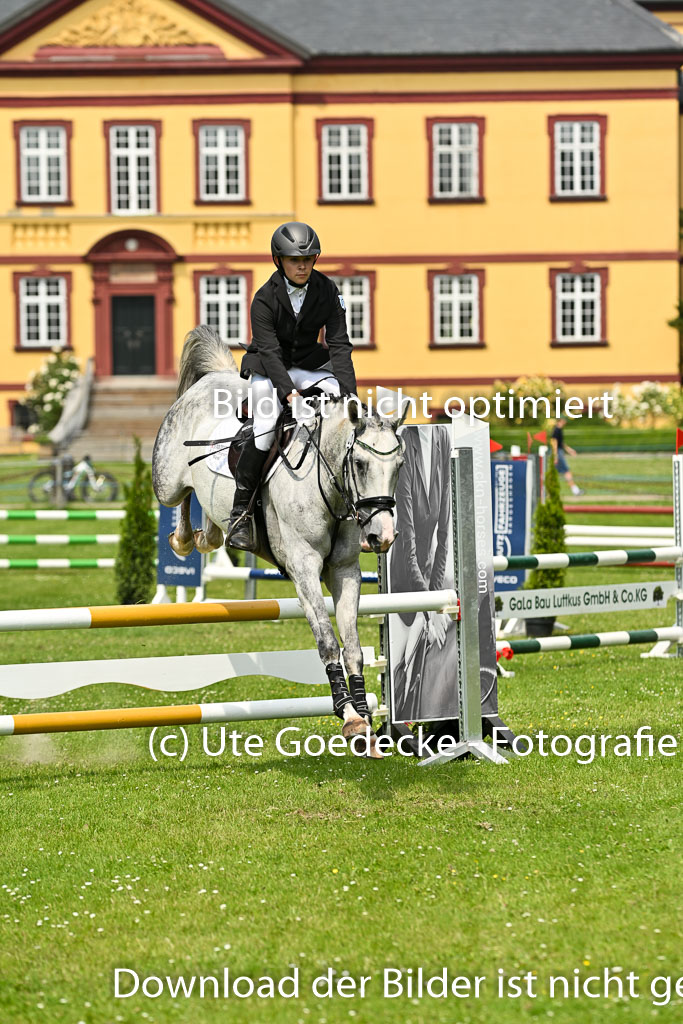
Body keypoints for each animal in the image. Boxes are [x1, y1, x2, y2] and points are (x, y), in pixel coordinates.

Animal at [152, 326, 406, 757]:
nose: (382, 536)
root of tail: (213, 378)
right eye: (359, 464)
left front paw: (367, 723)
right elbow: (327, 639)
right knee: (181, 496)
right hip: (167, 479)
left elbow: (353, 644)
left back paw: (215, 533)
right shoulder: (303, 568)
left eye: (400, 467)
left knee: (207, 510)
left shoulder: (344, 572)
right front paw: (350, 716)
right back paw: (187, 539)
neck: (330, 486)